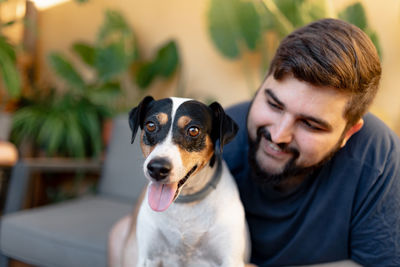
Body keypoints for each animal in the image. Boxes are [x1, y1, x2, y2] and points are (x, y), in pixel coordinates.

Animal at [126, 97, 250, 267]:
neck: (186, 201)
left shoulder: (230, 260)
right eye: (150, 125)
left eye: (193, 130)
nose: (157, 168)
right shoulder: (148, 258)